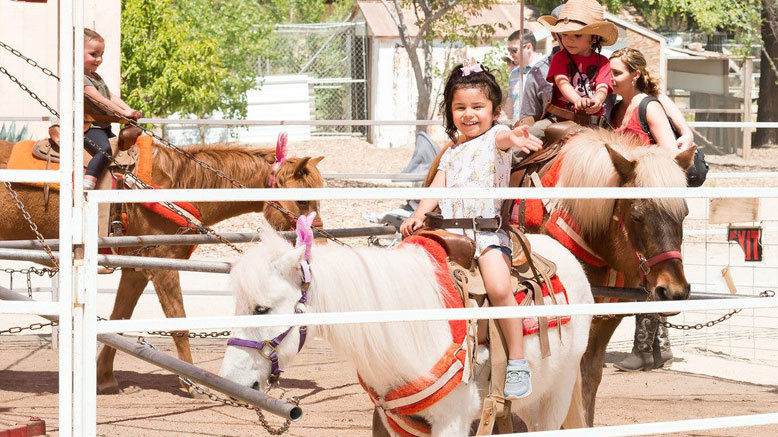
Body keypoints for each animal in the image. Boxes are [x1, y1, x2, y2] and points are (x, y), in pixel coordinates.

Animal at [0, 136, 324, 392]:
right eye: (303, 200)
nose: (317, 238)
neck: (176, 184)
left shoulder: (137, 270)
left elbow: (119, 320)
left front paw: (103, 378)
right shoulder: (163, 266)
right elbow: (178, 323)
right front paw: (192, 383)